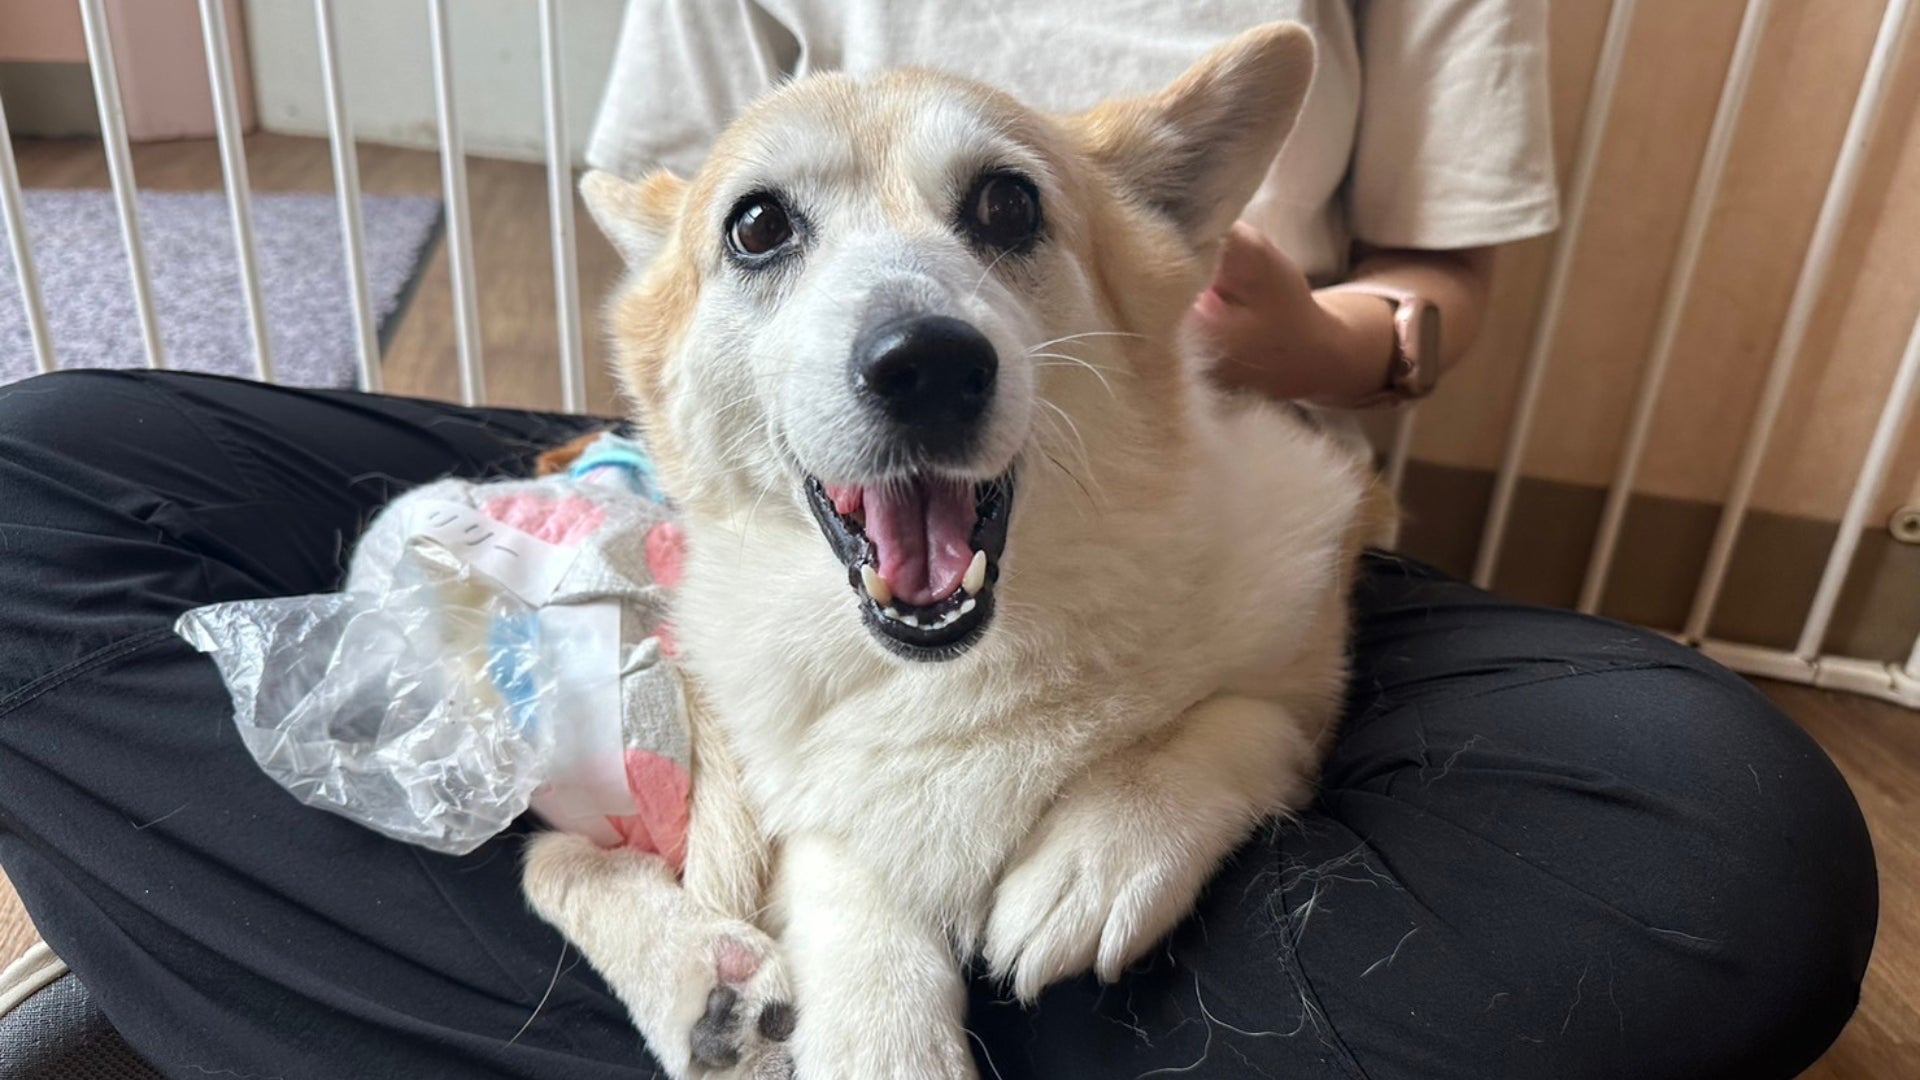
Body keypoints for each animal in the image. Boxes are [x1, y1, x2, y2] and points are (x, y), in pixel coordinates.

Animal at [522, 22, 1387, 1079]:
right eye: (757, 226)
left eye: (1008, 204)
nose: (926, 365)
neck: (954, 672)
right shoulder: (808, 811)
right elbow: (847, 874)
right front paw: (878, 1027)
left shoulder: (1311, 615)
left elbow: (1236, 720)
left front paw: (1102, 850)